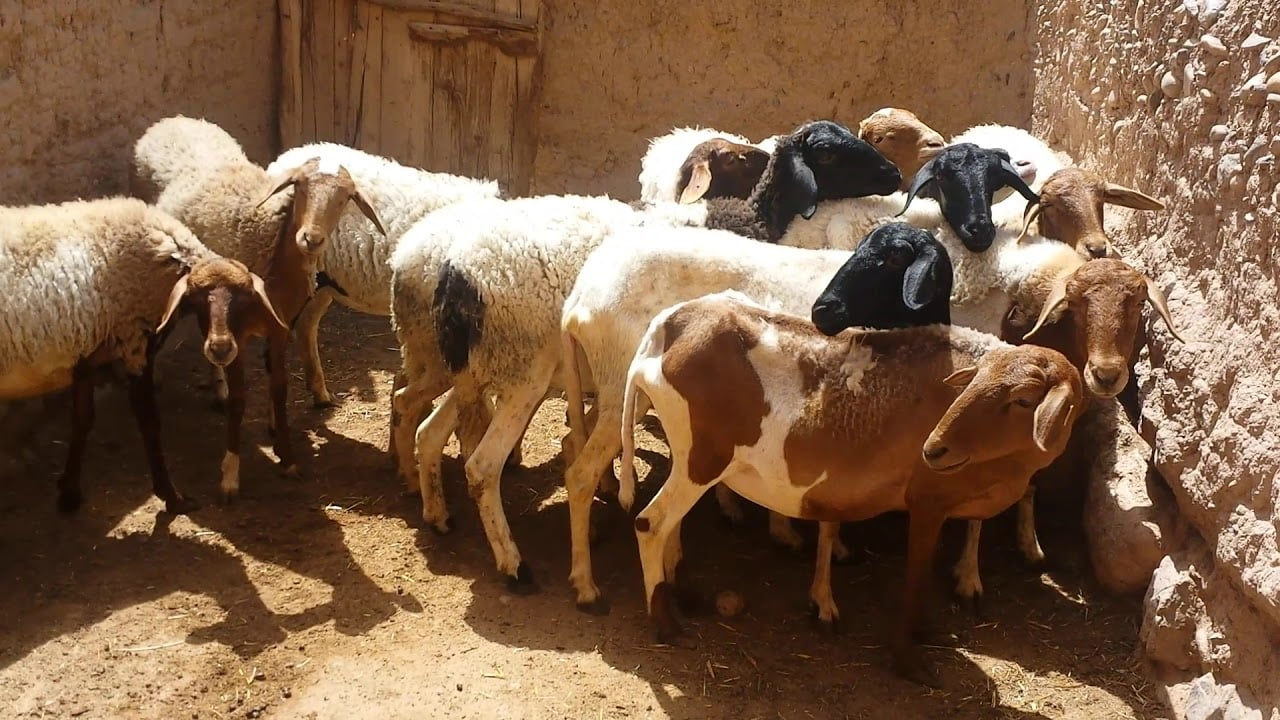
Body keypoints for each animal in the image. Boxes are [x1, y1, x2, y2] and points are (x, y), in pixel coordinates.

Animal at [0, 197, 286, 514]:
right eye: (199, 298)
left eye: (245, 300)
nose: (221, 348)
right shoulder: (135, 347)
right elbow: (149, 424)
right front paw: (173, 497)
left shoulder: (88, 356)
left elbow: (82, 421)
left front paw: (69, 493)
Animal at [131, 116, 386, 499]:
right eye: (299, 187)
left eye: (345, 198)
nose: (311, 239)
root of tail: (172, 120)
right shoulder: (237, 331)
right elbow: (241, 398)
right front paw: (230, 475)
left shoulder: (279, 325)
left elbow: (279, 387)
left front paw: (286, 455)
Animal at [389, 120, 904, 591]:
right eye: (830, 153)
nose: (895, 173)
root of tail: (452, 268)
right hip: (520, 373)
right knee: (478, 462)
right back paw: (514, 562)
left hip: (469, 367)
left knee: (423, 421)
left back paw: (432, 506)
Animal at [557, 223, 953, 611]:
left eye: (897, 257)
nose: (823, 310)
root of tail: (579, 299)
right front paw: (823, 591)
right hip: (625, 386)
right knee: (581, 476)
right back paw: (586, 585)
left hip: (619, 391)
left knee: (574, 440)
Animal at [622, 291, 1084, 684]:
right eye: (975, 385)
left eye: (1023, 399)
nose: (935, 447)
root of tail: (667, 327)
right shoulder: (927, 501)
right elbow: (915, 575)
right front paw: (909, 660)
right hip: (701, 460)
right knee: (650, 523)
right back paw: (666, 624)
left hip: (690, 460)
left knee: (672, 524)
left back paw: (684, 592)